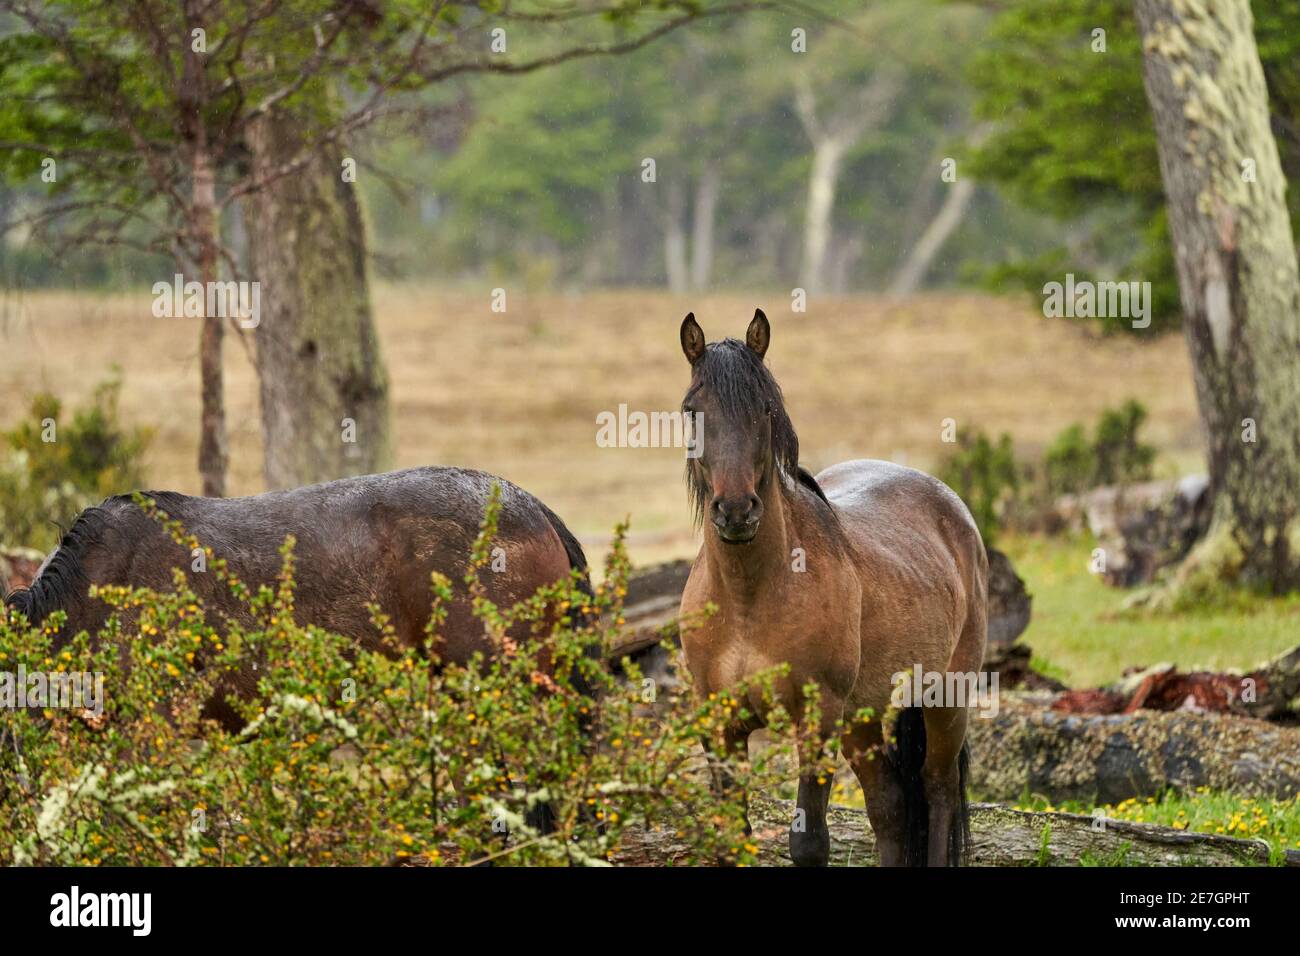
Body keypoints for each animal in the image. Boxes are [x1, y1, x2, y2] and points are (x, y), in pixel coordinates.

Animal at [681, 312, 982, 868]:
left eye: (766, 408)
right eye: (693, 411)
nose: (736, 511)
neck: (749, 599)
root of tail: (952, 509)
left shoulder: (816, 718)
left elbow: (810, 843)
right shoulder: (720, 724)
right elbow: (731, 834)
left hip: (945, 698)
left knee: (938, 790)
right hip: (861, 718)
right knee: (889, 805)